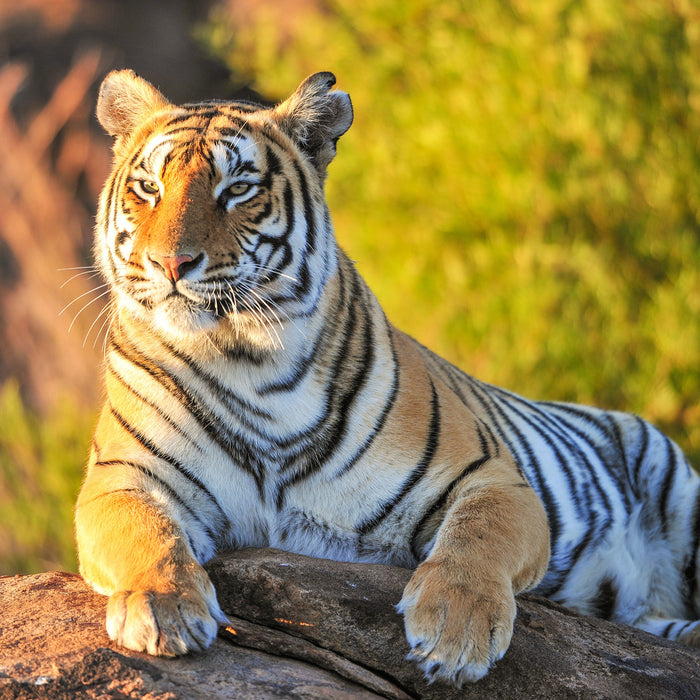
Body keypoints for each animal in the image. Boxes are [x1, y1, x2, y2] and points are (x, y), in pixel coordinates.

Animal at [75, 69, 700, 684]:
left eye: (238, 190)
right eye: (148, 188)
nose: (170, 263)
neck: (247, 361)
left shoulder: (491, 476)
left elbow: (477, 538)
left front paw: (455, 631)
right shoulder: (122, 477)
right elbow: (145, 535)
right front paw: (163, 609)